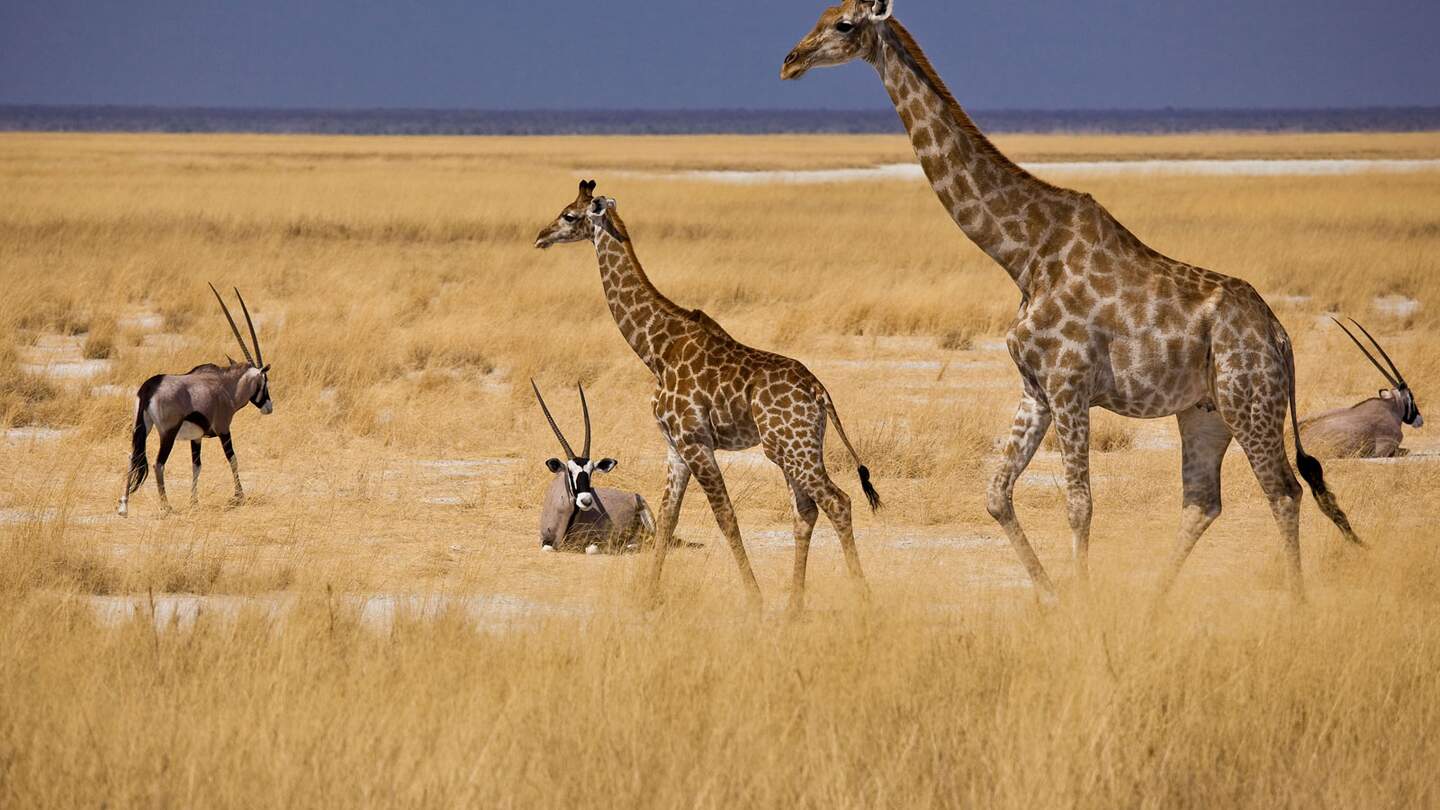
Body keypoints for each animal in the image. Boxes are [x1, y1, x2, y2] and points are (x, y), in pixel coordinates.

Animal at [538, 179, 881, 608]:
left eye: (569, 215)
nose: (541, 236)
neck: (656, 349)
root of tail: (821, 393)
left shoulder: (696, 440)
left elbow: (726, 517)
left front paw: (754, 597)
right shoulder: (674, 445)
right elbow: (668, 517)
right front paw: (649, 593)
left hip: (792, 447)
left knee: (838, 501)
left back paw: (861, 598)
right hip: (794, 449)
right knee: (805, 512)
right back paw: (794, 606)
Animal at [783, 0, 1353, 596]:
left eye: (844, 24)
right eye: (820, 13)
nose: (790, 61)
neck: (1024, 254)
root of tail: (1281, 336)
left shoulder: (1071, 383)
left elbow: (1079, 505)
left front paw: (1079, 598)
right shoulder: (1036, 388)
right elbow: (996, 494)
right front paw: (1052, 595)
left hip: (1251, 399)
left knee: (1282, 491)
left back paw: (1296, 601)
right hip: (1205, 410)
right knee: (1203, 502)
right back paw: (1153, 603)